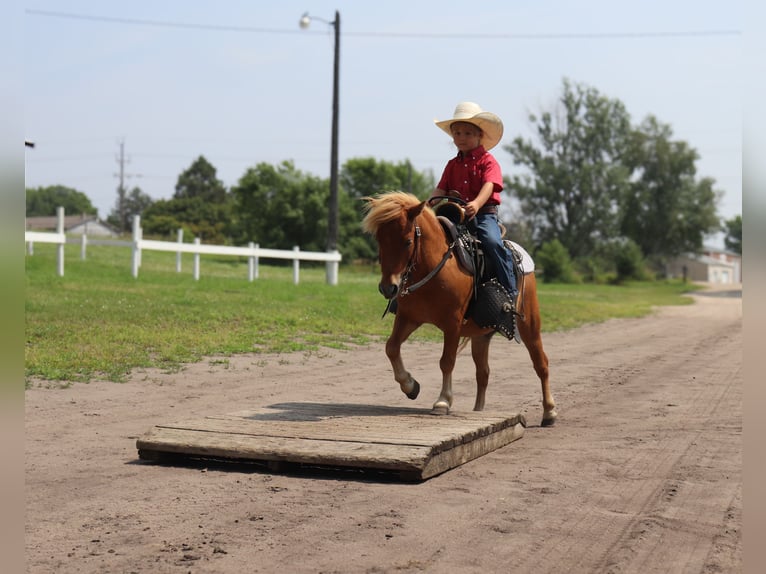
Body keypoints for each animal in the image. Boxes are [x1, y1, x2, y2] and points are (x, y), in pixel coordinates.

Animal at [362, 191, 560, 426]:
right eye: (379, 240)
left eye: (407, 241)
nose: (388, 287)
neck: (434, 267)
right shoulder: (408, 318)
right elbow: (391, 348)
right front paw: (410, 386)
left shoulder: (452, 324)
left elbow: (447, 361)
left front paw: (442, 402)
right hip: (481, 336)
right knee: (483, 373)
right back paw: (478, 410)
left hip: (530, 325)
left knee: (541, 363)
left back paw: (549, 412)